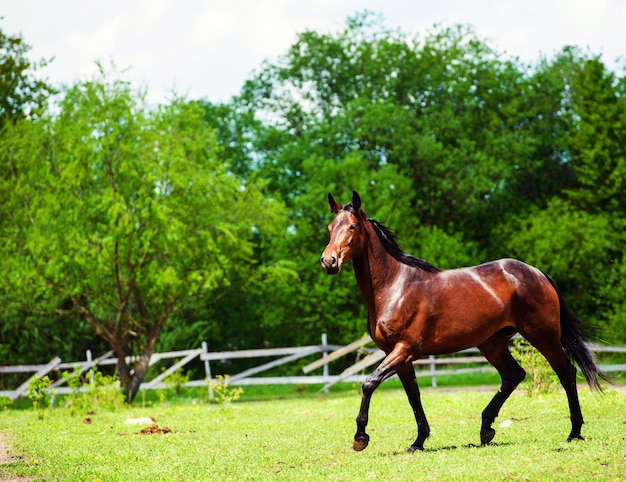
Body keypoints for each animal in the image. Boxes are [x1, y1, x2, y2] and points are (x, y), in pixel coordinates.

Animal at [320, 191, 608, 452]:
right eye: (331, 228)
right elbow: (413, 396)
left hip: (542, 335)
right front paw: (419, 441)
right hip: (492, 343)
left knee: (566, 372)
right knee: (514, 375)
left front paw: (361, 438)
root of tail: (538, 273)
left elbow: (369, 383)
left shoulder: (405, 349)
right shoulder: (398, 354)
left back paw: (574, 432)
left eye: (352, 226)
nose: (328, 261)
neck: (395, 286)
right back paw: (486, 430)